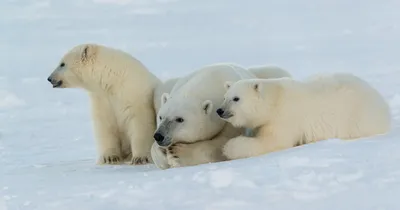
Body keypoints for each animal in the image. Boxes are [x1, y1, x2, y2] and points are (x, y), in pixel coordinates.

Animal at [217, 73, 392, 160]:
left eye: (236, 98)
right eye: (225, 97)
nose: (219, 110)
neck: (275, 98)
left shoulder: (284, 117)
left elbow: (273, 142)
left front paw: (228, 148)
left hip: (357, 117)